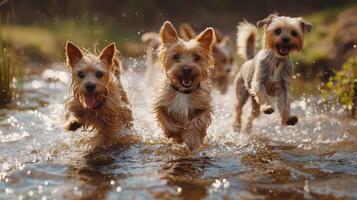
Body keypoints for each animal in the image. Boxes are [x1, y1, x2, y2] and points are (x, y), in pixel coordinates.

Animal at [153, 21, 214, 151]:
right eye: (175, 56)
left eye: (197, 57)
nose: (186, 69)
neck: (183, 93)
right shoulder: (161, 104)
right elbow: (168, 123)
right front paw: (178, 134)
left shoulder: (203, 106)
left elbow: (198, 122)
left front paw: (192, 140)